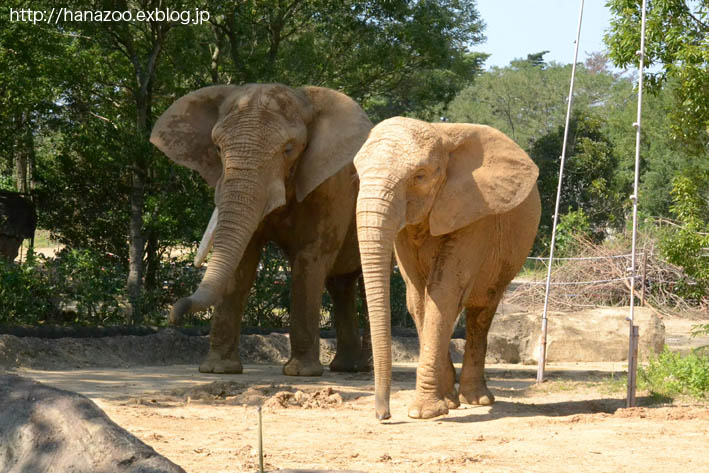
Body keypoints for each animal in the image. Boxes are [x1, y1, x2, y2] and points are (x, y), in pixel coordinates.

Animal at [149, 83, 370, 374]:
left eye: (289, 149)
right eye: (217, 148)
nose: (173, 316)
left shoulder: (331, 187)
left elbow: (310, 259)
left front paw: (300, 373)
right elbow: (242, 262)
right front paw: (218, 369)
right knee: (341, 285)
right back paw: (348, 368)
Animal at [352, 117, 540, 416]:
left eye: (419, 176)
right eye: (358, 174)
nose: (384, 415)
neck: (441, 135)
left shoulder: (476, 209)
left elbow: (443, 291)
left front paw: (423, 413)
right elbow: (418, 297)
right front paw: (442, 405)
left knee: (482, 310)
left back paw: (478, 400)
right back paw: (455, 399)